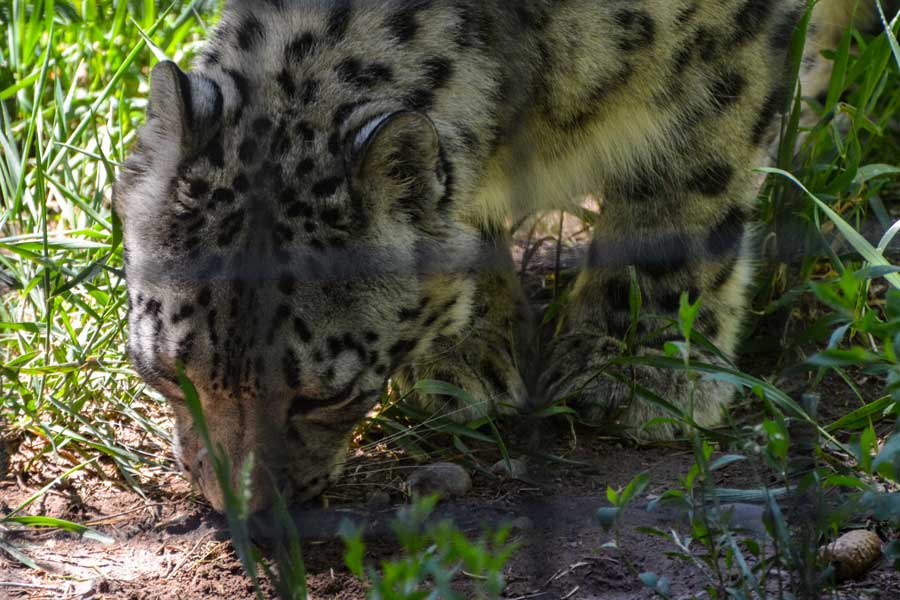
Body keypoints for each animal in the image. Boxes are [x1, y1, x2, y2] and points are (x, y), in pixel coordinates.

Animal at [114, 0, 894, 512]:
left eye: (323, 395)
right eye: (170, 374)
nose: (237, 508)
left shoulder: (723, 53)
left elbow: (686, 187)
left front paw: (641, 367)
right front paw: (467, 354)